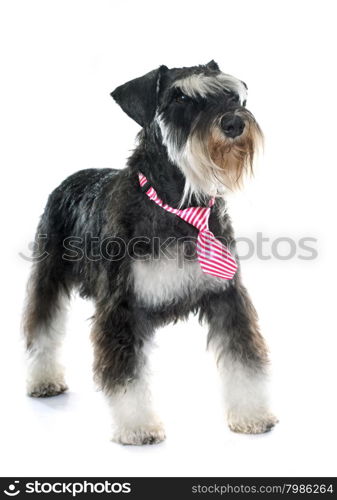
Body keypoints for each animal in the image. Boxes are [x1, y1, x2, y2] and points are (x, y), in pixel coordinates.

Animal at [23, 60, 276, 444]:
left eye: (232, 94)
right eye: (179, 98)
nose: (234, 123)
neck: (178, 204)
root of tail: (69, 179)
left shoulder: (227, 296)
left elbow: (244, 358)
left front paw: (253, 415)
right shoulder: (122, 307)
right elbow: (127, 373)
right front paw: (138, 426)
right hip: (48, 276)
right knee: (42, 329)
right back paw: (43, 380)